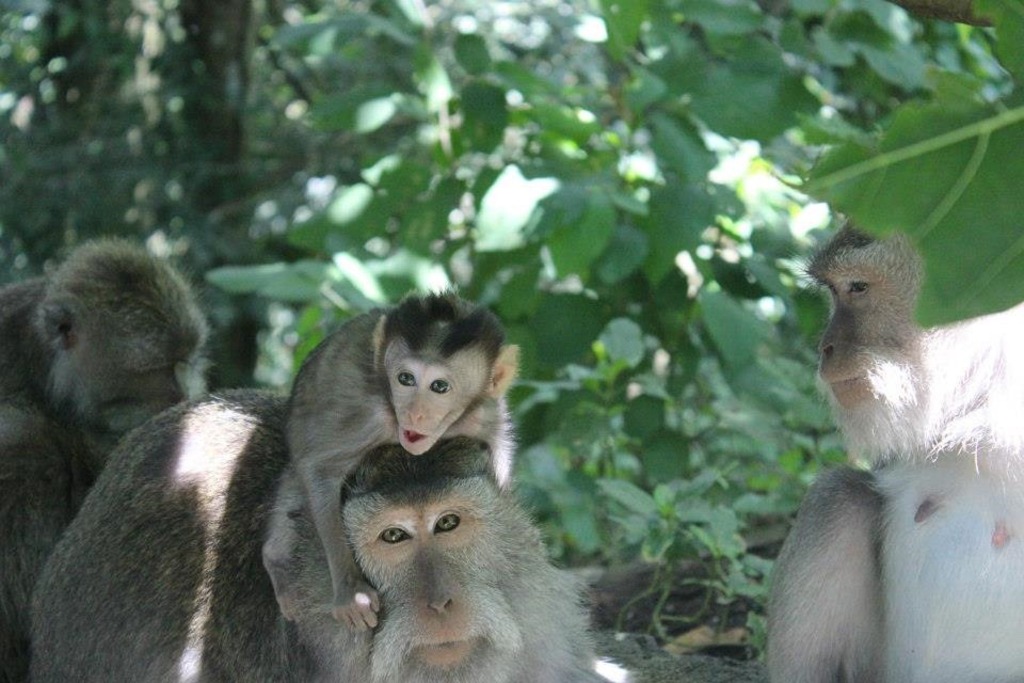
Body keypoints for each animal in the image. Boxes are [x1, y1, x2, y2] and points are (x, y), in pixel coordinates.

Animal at [263, 290, 519, 629]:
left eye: (439, 386)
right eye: (405, 379)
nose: (414, 413)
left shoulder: (485, 411)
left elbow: (500, 457)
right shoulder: (369, 417)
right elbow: (318, 469)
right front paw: (351, 591)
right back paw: (276, 561)